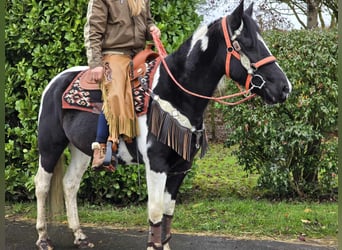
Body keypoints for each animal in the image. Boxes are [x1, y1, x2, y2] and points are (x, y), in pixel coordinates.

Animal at [34, 0, 292, 249]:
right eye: (244, 44)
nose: (284, 87)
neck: (173, 92)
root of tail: (55, 82)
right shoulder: (156, 165)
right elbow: (156, 213)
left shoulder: (180, 168)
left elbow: (168, 215)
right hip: (50, 146)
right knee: (42, 185)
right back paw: (43, 238)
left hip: (81, 150)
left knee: (70, 184)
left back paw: (80, 236)